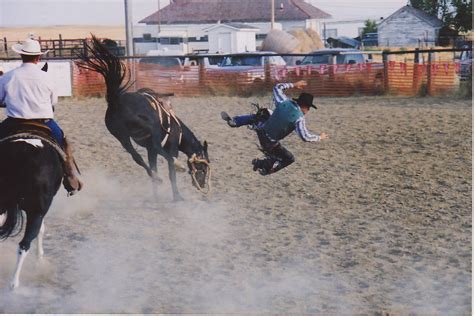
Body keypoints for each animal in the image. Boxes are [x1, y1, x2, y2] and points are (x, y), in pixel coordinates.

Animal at [76, 36, 209, 200]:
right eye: (204, 165)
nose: (201, 185)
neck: (179, 132)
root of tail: (116, 100)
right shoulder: (170, 149)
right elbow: (171, 171)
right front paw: (177, 196)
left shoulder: (150, 151)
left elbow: (153, 164)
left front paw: (156, 195)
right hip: (150, 125)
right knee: (157, 149)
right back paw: (177, 166)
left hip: (121, 136)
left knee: (136, 157)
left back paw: (157, 178)